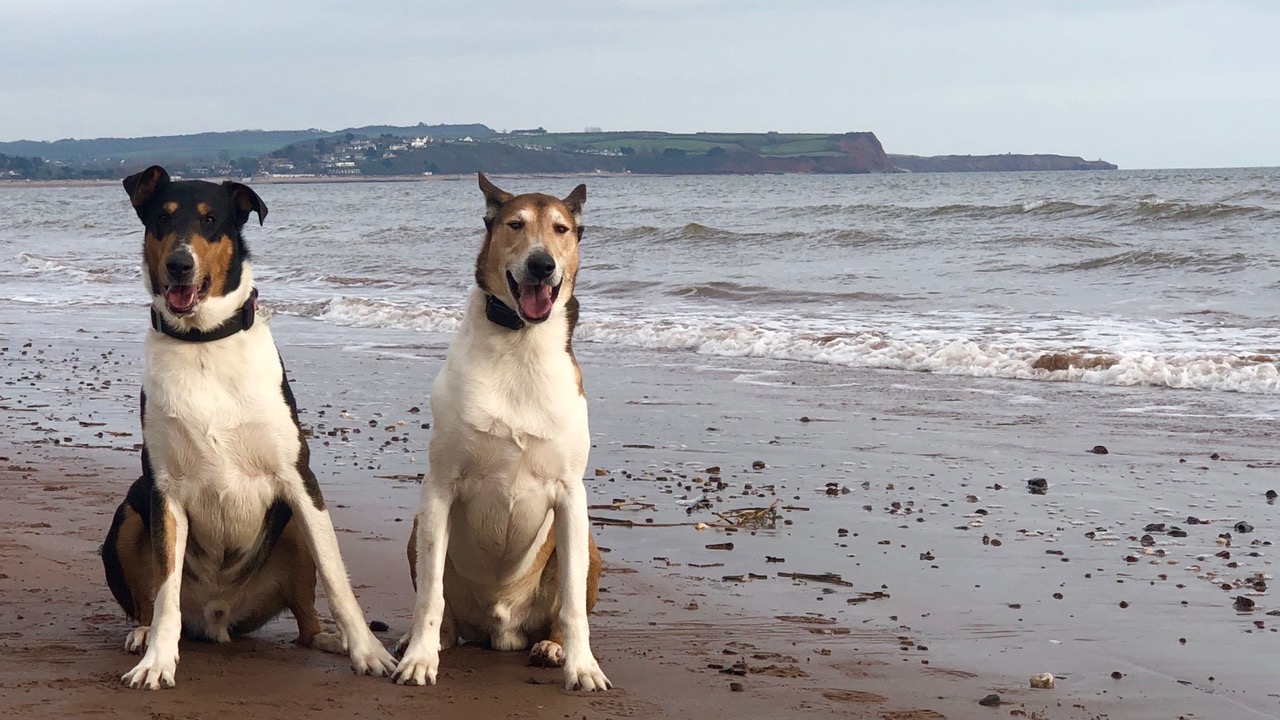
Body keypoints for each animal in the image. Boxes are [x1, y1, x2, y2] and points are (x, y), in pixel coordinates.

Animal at [100, 165, 394, 686]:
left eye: (211, 220)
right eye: (162, 219)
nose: (179, 264)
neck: (202, 343)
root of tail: (218, 617)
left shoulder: (299, 480)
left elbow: (337, 579)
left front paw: (368, 651)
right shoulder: (163, 490)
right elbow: (164, 590)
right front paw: (157, 660)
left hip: (292, 527)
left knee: (307, 622)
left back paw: (331, 640)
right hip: (130, 512)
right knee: (149, 601)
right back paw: (142, 633)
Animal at [389, 172, 609, 691]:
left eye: (561, 229)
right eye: (515, 224)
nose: (541, 264)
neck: (521, 341)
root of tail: (500, 629)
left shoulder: (571, 495)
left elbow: (573, 604)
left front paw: (582, 666)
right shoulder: (440, 487)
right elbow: (429, 594)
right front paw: (421, 660)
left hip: (587, 543)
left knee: (561, 606)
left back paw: (551, 646)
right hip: (419, 528)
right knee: (441, 604)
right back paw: (428, 641)